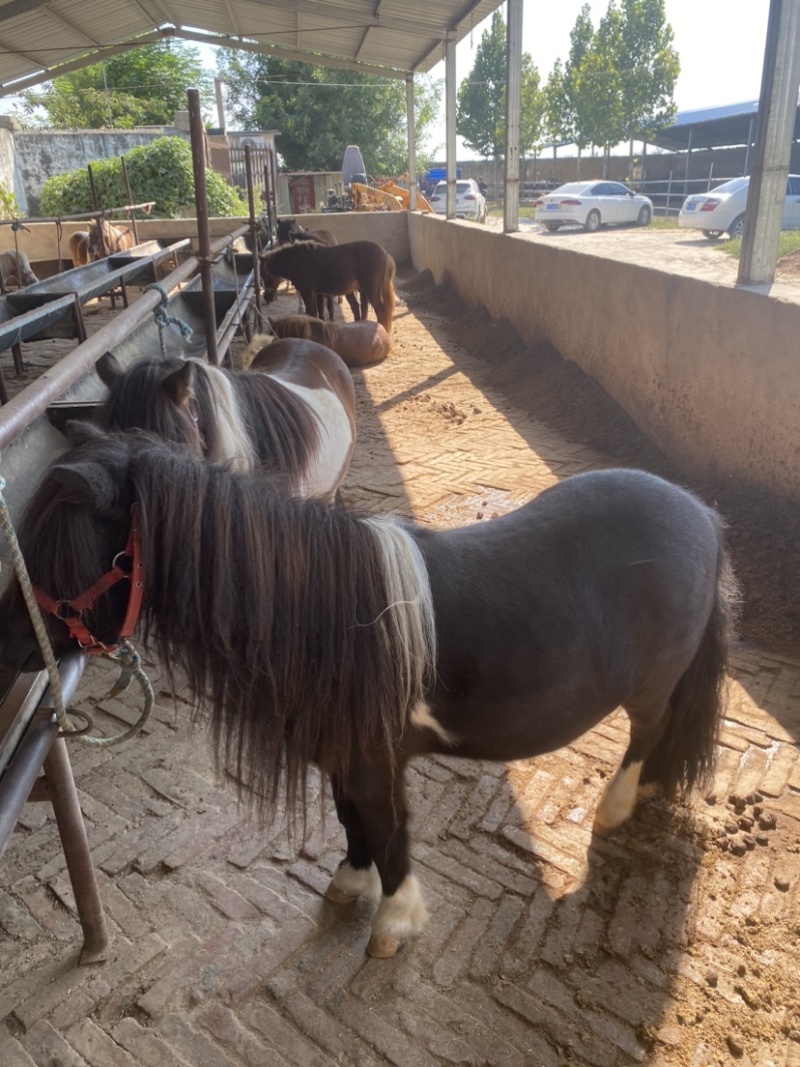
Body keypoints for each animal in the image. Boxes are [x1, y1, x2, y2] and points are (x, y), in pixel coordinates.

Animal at [0, 429, 737, 959]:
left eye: (51, 546)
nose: (11, 649)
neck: (327, 617)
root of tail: (702, 515)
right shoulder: (340, 755)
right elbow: (350, 820)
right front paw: (351, 883)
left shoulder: (375, 761)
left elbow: (385, 827)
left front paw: (395, 920)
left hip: (651, 684)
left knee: (648, 730)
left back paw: (614, 807)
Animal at [260, 240, 396, 336]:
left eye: (264, 274)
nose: (266, 297)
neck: (295, 259)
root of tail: (385, 254)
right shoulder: (314, 293)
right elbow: (314, 314)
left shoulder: (306, 292)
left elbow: (311, 313)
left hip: (371, 291)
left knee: (382, 312)